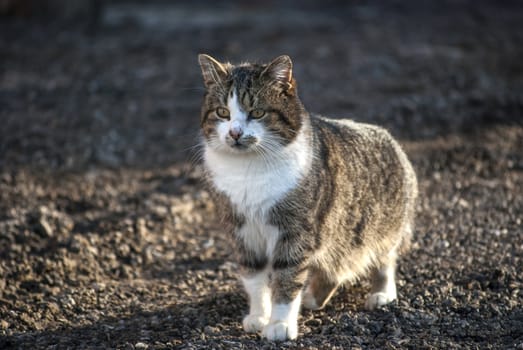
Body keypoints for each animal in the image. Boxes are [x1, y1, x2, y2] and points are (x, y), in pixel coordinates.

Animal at [199, 53, 420, 340]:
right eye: (222, 113)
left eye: (257, 112)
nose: (235, 133)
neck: (248, 169)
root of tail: (391, 139)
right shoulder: (241, 230)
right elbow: (254, 277)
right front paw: (260, 316)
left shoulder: (295, 232)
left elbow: (287, 278)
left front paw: (280, 324)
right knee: (336, 264)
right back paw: (313, 298)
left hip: (379, 226)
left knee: (383, 259)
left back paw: (381, 293)